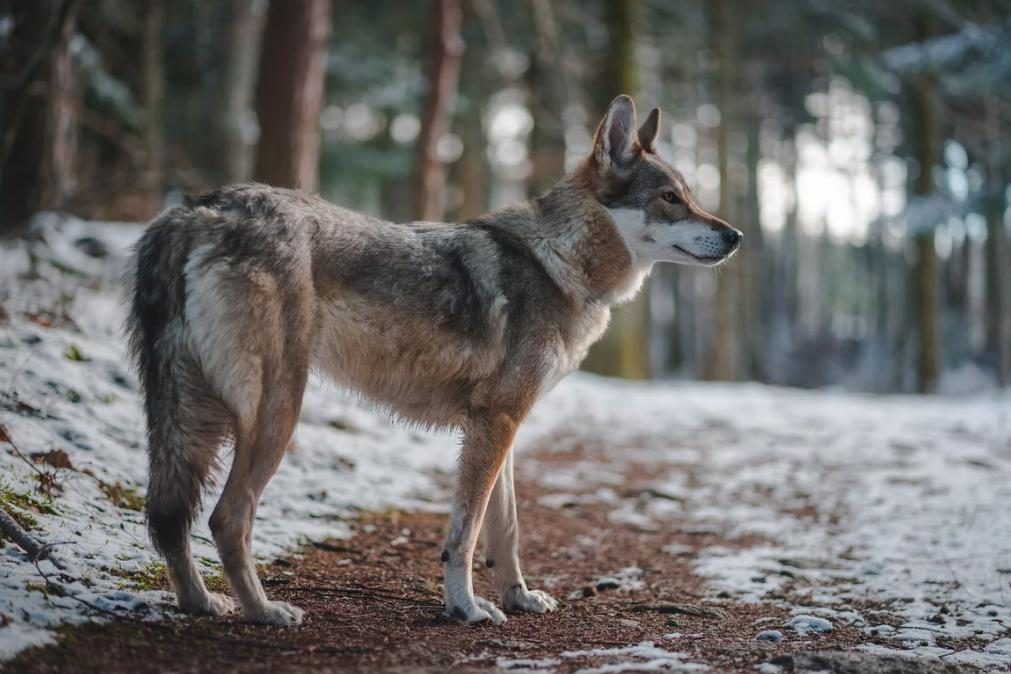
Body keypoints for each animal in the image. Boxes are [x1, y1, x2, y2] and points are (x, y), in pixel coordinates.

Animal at [128, 94, 744, 626]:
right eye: (670, 198)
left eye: (690, 195)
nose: (736, 235)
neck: (558, 263)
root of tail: (196, 210)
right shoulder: (495, 423)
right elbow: (465, 535)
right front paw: (466, 608)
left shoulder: (503, 426)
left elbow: (506, 530)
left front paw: (518, 598)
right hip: (275, 413)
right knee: (226, 519)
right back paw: (264, 611)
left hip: (193, 417)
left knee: (169, 518)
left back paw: (201, 604)